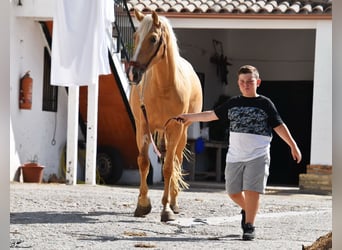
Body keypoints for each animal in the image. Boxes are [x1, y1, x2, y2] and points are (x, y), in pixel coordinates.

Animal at [128, 9, 203, 221]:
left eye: (153, 38)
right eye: (135, 37)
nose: (133, 74)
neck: (163, 86)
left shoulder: (175, 128)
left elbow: (169, 167)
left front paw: (167, 208)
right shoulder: (142, 127)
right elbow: (144, 163)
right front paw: (142, 204)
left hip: (182, 134)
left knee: (176, 161)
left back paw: (174, 202)